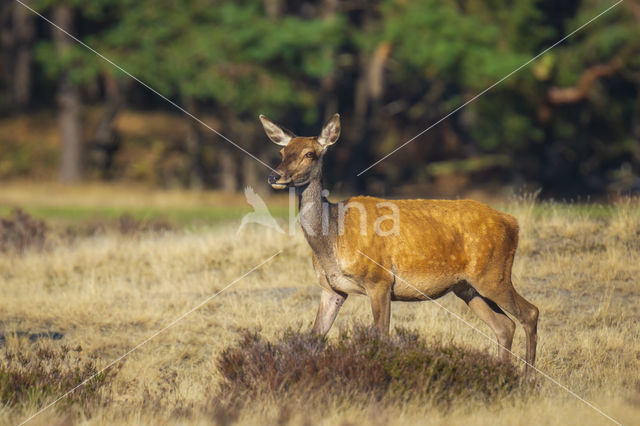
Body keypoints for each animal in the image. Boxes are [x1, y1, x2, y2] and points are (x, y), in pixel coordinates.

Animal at [258, 113, 536, 376]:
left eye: (310, 154)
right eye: (282, 152)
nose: (274, 176)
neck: (332, 242)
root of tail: (512, 223)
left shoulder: (379, 280)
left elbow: (381, 336)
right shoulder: (332, 288)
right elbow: (314, 336)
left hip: (493, 274)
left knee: (530, 313)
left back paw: (529, 377)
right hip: (467, 287)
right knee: (505, 325)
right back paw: (504, 373)